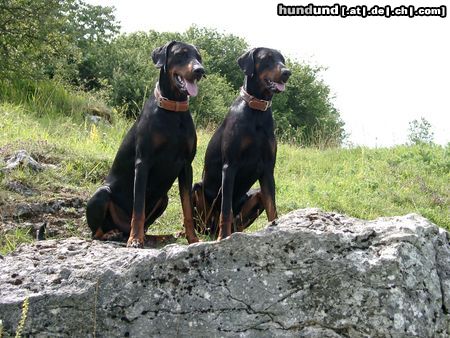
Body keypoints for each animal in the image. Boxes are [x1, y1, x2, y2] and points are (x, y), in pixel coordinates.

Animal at [86, 41, 206, 248]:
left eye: (198, 57)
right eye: (181, 54)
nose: (200, 70)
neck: (173, 110)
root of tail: (121, 228)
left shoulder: (186, 166)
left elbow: (187, 209)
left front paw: (193, 239)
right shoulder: (143, 163)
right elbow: (138, 208)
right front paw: (135, 240)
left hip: (163, 199)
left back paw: (155, 237)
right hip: (101, 194)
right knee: (96, 233)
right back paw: (115, 234)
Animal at [193, 46, 292, 240]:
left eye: (282, 59)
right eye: (267, 58)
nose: (287, 72)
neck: (257, 111)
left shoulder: (268, 168)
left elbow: (272, 207)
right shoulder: (230, 166)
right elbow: (225, 209)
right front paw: (223, 238)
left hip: (255, 197)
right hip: (197, 189)